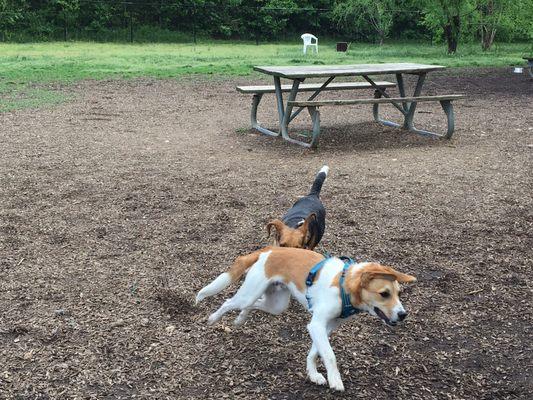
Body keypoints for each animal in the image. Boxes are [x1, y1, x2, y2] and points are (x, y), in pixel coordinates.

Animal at [195, 245, 416, 392]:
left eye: (399, 293)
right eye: (384, 294)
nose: (403, 314)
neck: (345, 286)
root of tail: (268, 250)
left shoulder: (326, 327)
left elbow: (315, 352)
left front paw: (314, 374)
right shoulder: (317, 325)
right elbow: (329, 355)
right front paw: (335, 380)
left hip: (276, 304)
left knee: (254, 304)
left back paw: (241, 319)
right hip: (249, 294)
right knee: (229, 302)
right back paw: (213, 319)